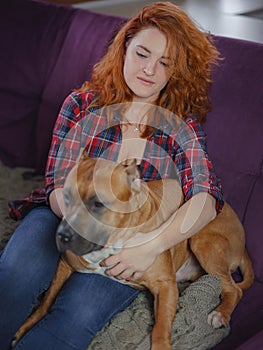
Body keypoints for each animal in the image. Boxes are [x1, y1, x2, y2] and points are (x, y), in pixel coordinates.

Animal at [11, 157, 255, 348]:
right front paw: (25, 327)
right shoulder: (65, 263)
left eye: (98, 204)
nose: (62, 235)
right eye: (67, 198)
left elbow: (160, 328)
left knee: (234, 289)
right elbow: (47, 300)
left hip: (201, 241)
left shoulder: (165, 287)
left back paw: (220, 313)